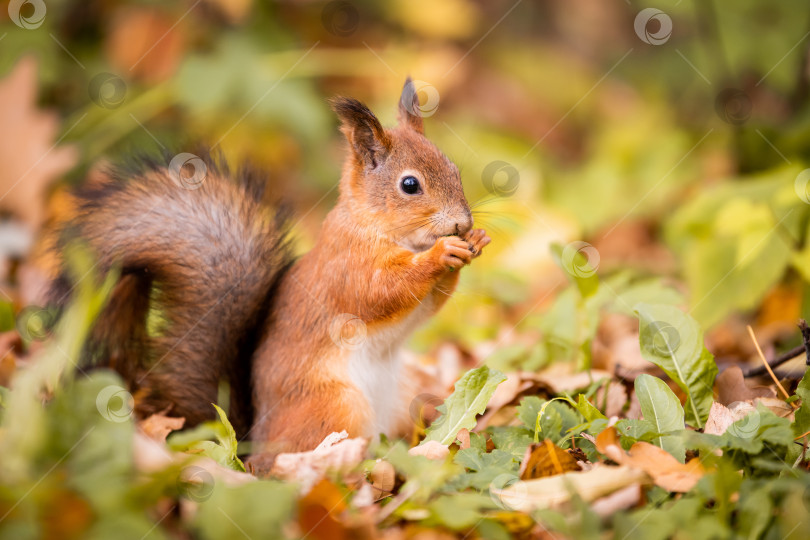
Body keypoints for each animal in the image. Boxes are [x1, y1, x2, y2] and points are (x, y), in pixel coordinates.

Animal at [47, 80, 490, 468]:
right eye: (410, 185)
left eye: (454, 169)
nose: (463, 222)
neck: (382, 229)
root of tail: (253, 440)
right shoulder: (346, 268)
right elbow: (382, 291)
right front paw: (442, 253)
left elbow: (429, 304)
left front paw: (475, 241)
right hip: (335, 405)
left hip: (404, 394)